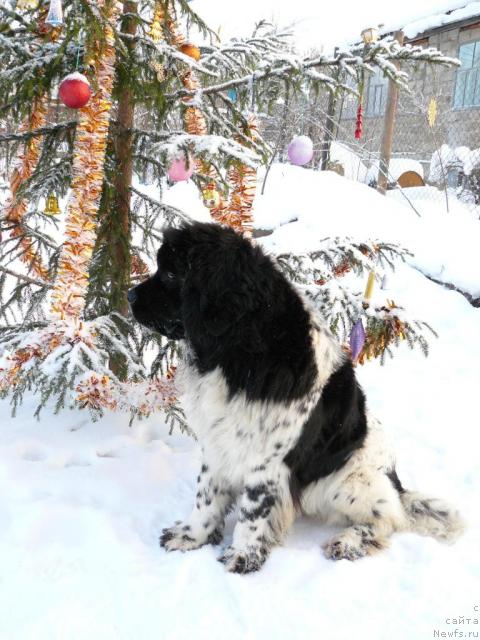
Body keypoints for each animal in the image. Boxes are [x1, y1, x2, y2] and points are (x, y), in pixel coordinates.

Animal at [128, 221, 464, 576]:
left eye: (170, 274)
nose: (129, 295)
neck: (238, 351)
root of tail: (395, 481)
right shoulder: (220, 441)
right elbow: (206, 495)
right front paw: (192, 536)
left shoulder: (266, 461)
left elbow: (253, 513)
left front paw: (242, 554)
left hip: (351, 480)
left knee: (389, 519)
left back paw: (348, 542)